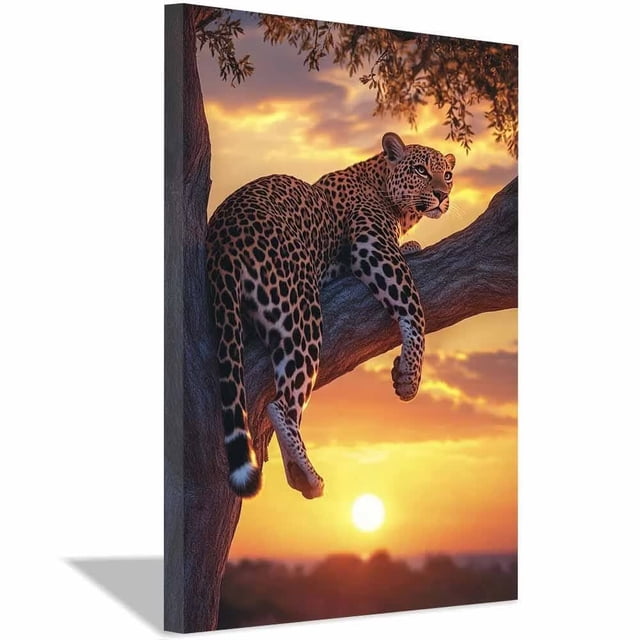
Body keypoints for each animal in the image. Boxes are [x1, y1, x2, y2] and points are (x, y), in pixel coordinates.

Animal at [206, 132, 455, 500]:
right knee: (281, 404)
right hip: (300, 305)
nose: (442, 195)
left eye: (447, 175)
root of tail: (223, 233)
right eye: (421, 170)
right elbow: (413, 306)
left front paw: (412, 246)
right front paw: (410, 375)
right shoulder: (371, 247)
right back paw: (307, 475)